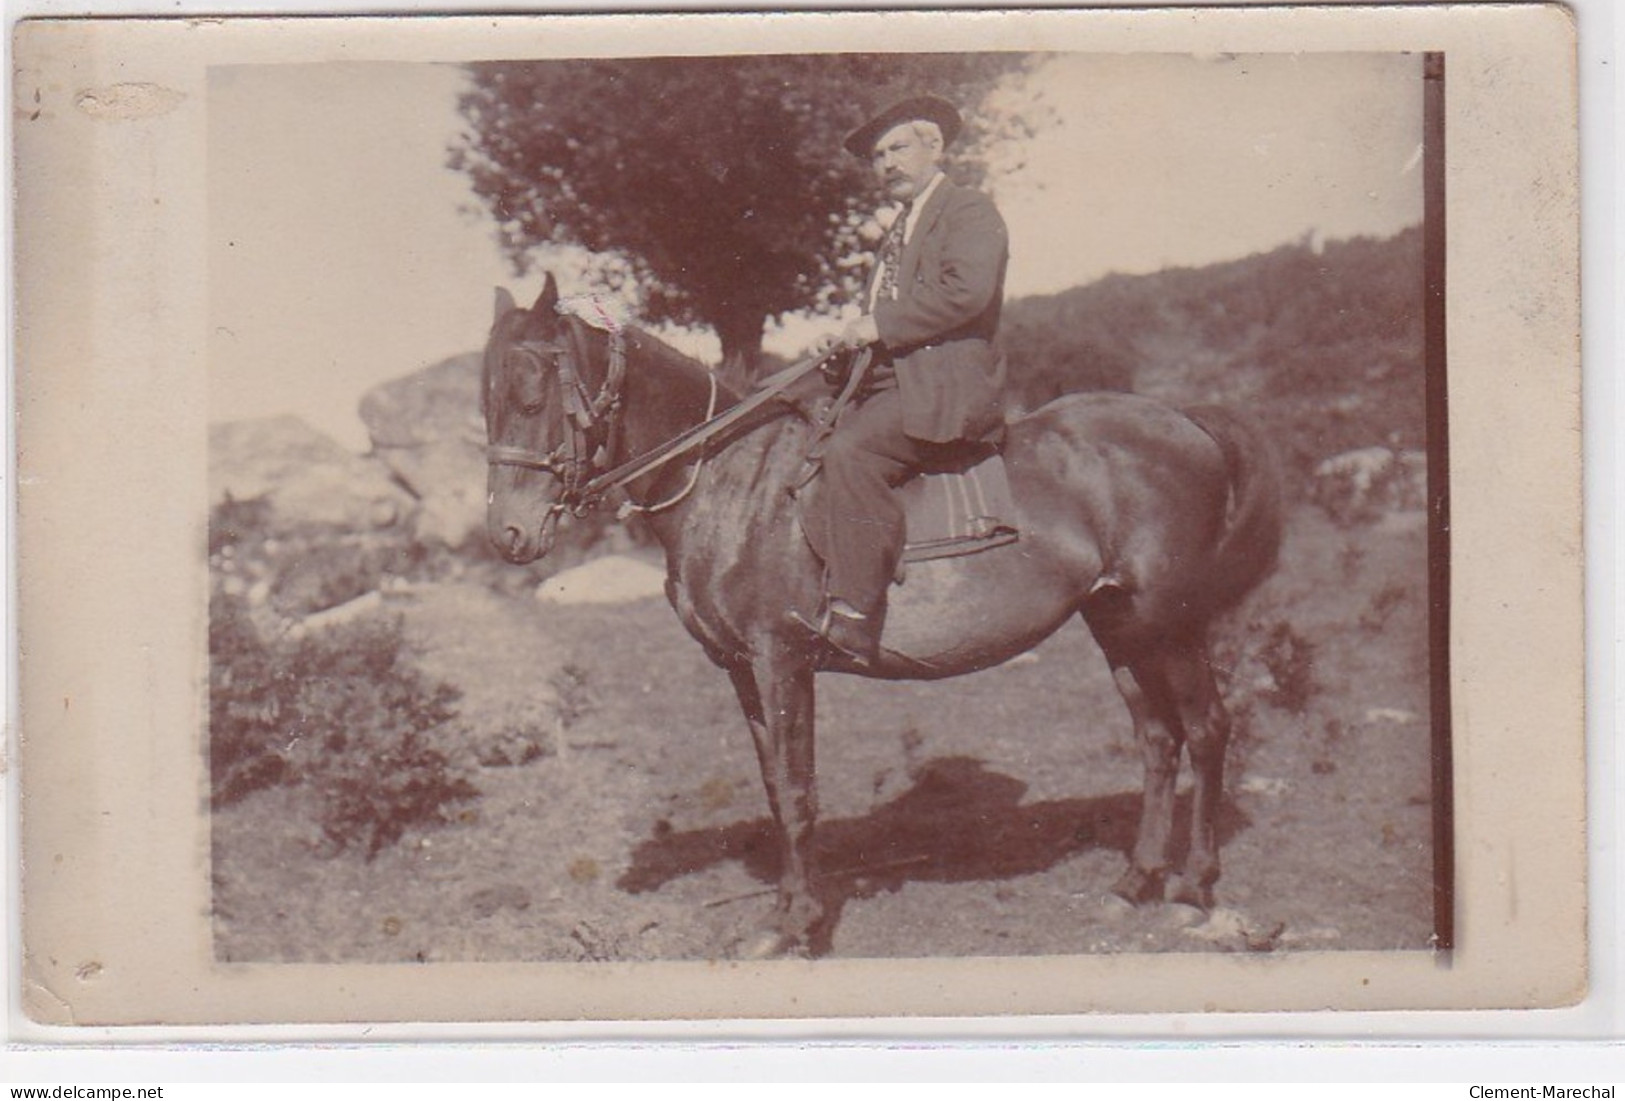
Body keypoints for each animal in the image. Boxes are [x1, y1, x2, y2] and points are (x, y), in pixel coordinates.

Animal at [481, 280, 1280, 961]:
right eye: (485, 401)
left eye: (530, 392)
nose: (509, 535)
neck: (728, 480)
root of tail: (1188, 421)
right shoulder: (741, 670)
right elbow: (774, 788)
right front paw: (783, 914)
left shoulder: (782, 659)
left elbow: (798, 793)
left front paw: (800, 925)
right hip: (1116, 621)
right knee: (1158, 740)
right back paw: (1136, 880)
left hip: (1168, 620)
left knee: (1208, 729)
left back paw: (1192, 885)